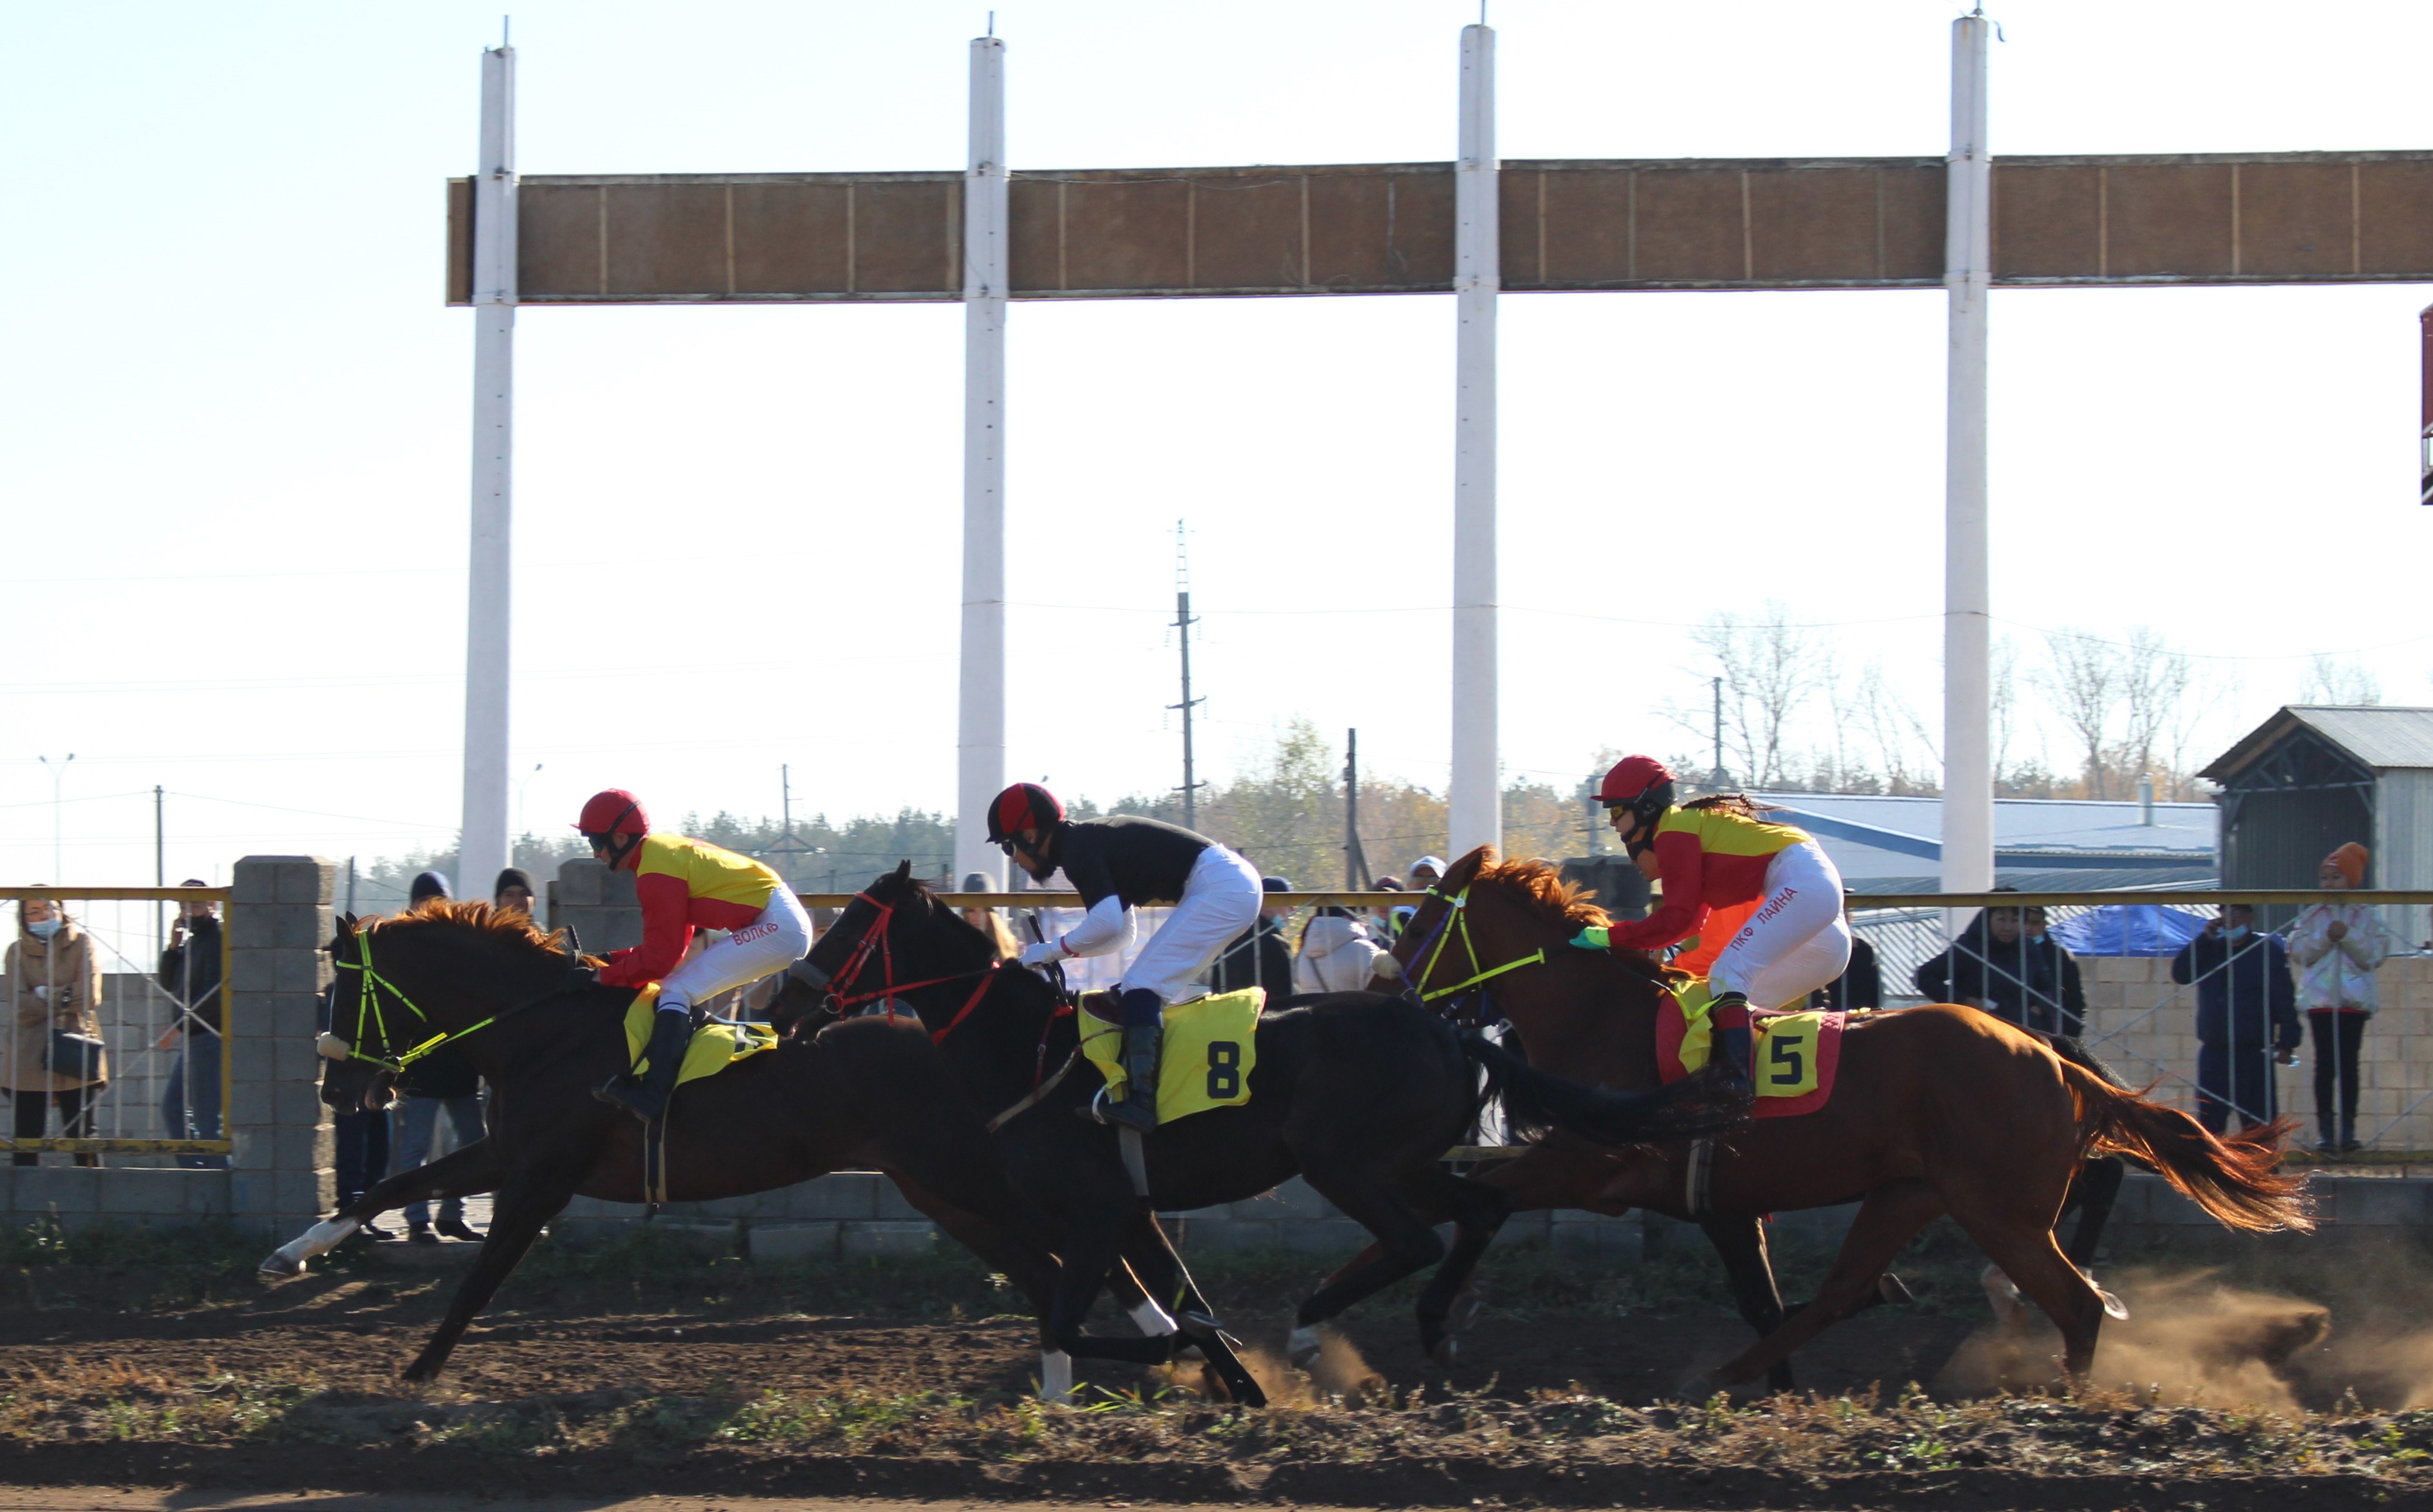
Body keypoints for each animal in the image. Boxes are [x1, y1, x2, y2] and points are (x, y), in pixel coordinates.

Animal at [259, 904, 1187, 1390]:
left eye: (342, 993)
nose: (335, 1090)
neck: (542, 1032)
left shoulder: (540, 1179)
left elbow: (481, 1277)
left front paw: (419, 1370)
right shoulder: (506, 1155)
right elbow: (382, 1191)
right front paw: (290, 1253)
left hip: (978, 1177)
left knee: (1101, 1250)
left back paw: (1167, 1341)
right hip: (937, 1189)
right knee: (1052, 1269)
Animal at [802, 870, 1752, 1390]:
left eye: (848, 924)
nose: (791, 994)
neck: (1029, 1055)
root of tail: (1446, 1029)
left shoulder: (1098, 1209)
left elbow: (1081, 1322)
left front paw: (1181, 1352)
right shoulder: (1126, 1213)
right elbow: (1171, 1300)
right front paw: (1224, 1373)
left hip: (1344, 1163)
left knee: (1415, 1238)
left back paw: (1316, 1324)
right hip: (1399, 1161)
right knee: (1476, 1211)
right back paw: (1431, 1326)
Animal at [1391, 846, 2297, 1390]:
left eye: (1424, 923)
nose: (1384, 991)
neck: (1603, 1023)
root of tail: (2052, 1059)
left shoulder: (1593, 1164)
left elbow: (1485, 1201)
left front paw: (1434, 1325)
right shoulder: (1723, 1204)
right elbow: (1763, 1299)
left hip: (2000, 1211)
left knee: (2074, 1304)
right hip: (1911, 1195)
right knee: (1842, 1290)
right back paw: (1732, 1375)